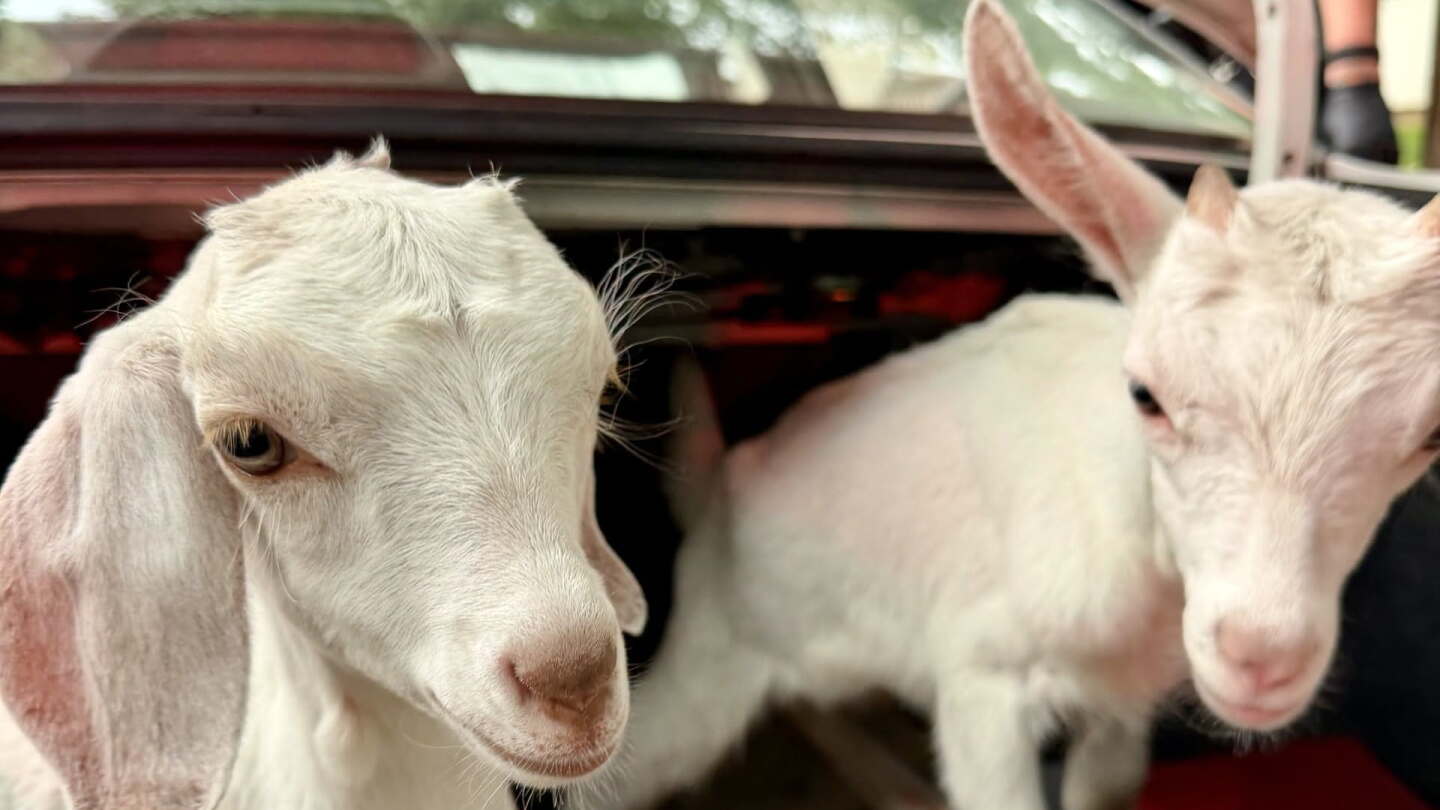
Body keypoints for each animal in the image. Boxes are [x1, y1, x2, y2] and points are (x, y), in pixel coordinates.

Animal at [589, 3, 1440, 809]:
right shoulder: (981, 676)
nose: (1260, 659)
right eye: (1146, 395)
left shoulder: (1121, 709)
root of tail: (714, 494)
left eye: (1430, 436)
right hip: (715, 650)